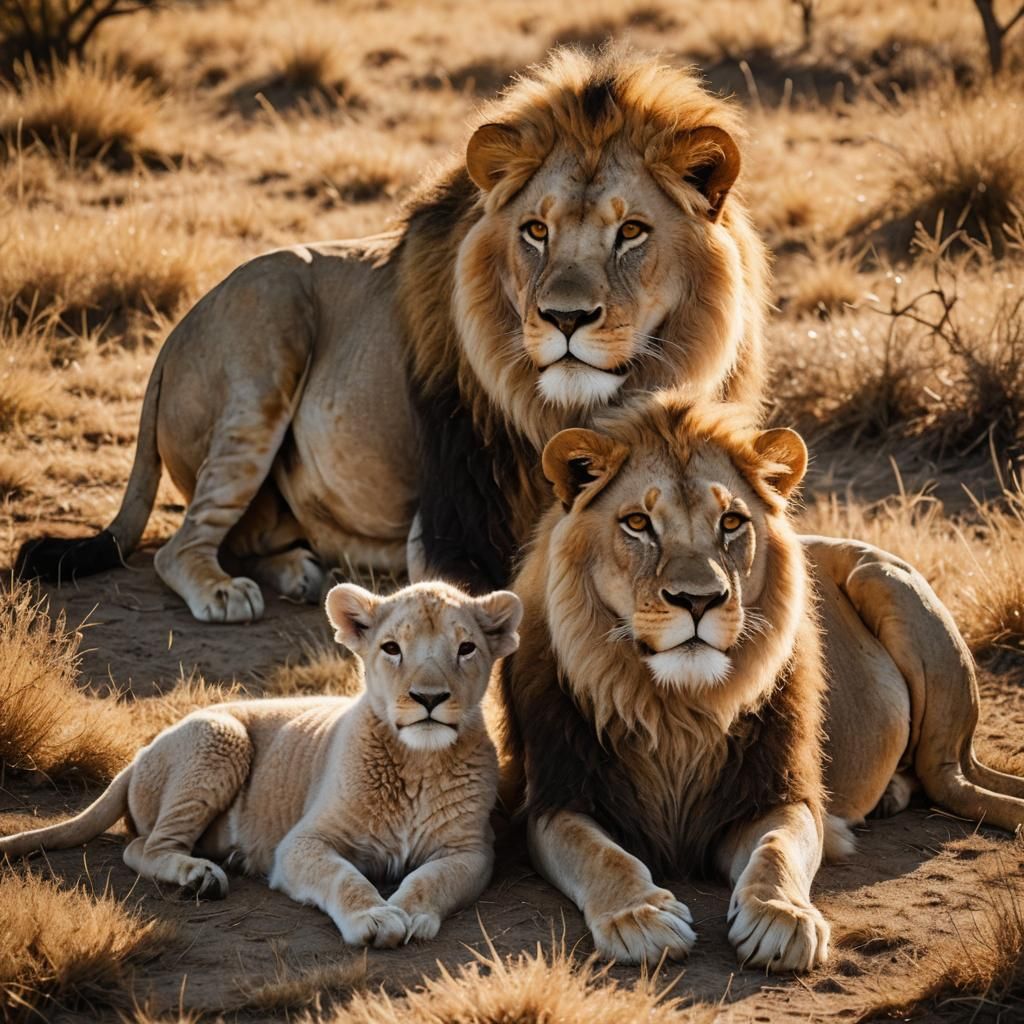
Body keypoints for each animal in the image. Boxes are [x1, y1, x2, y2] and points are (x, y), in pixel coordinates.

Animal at [0, 581, 522, 948]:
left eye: (466, 648)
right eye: (392, 648)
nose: (429, 698)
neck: (418, 763)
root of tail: (140, 753)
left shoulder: (471, 851)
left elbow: (431, 878)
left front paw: (411, 911)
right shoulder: (301, 843)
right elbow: (345, 878)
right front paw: (375, 916)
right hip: (221, 735)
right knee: (143, 848)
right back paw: (201, 876)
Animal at [16, 48, 767, 616]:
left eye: (631, 232)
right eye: (536, 230)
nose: (565, 319)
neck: (573, 409)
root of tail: (170, 339)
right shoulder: (448, 527)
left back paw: (299, 569)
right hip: (269, 321)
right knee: (179, 547)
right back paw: (230, 591)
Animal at [498, 393, 1024, 971]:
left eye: (731, 522)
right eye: (637, 522)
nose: (699, 600)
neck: (676, 708)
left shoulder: (778, 792)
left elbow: (777, 848)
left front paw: (781, 917)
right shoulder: (557, 801)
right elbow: (602, 855)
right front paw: (640, 917)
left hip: (884, 580)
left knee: (957, 780)